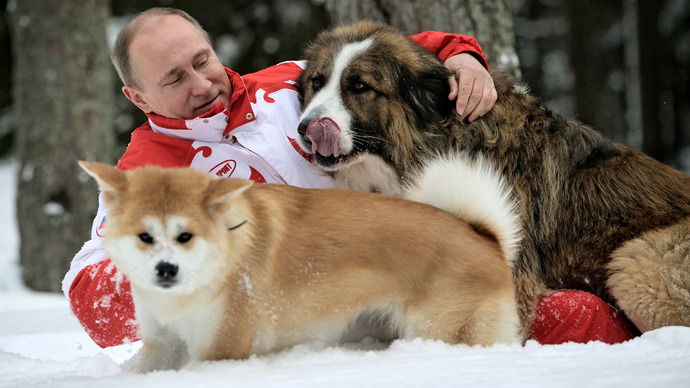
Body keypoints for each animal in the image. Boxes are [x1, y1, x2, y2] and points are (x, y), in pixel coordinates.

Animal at [78, 161, 520, 372]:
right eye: (144, 236)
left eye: (186, 236)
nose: (166, 270)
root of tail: (485, 238)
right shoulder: (163, 345)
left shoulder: (221, 349)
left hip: (436, 330)